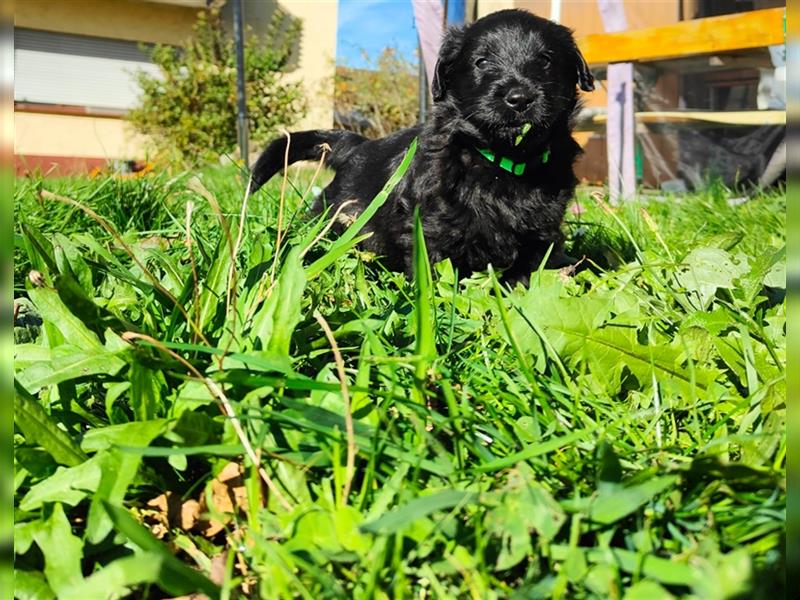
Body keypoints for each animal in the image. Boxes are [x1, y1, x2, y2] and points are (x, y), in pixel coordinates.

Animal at [250, 9, 592, 282]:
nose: (519, 97)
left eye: (545, 60)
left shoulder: (541, 233)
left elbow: (527, 270)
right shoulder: (431, 226)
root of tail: (357, 145)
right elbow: (435, 273)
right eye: (481, 62)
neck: (502, 161)